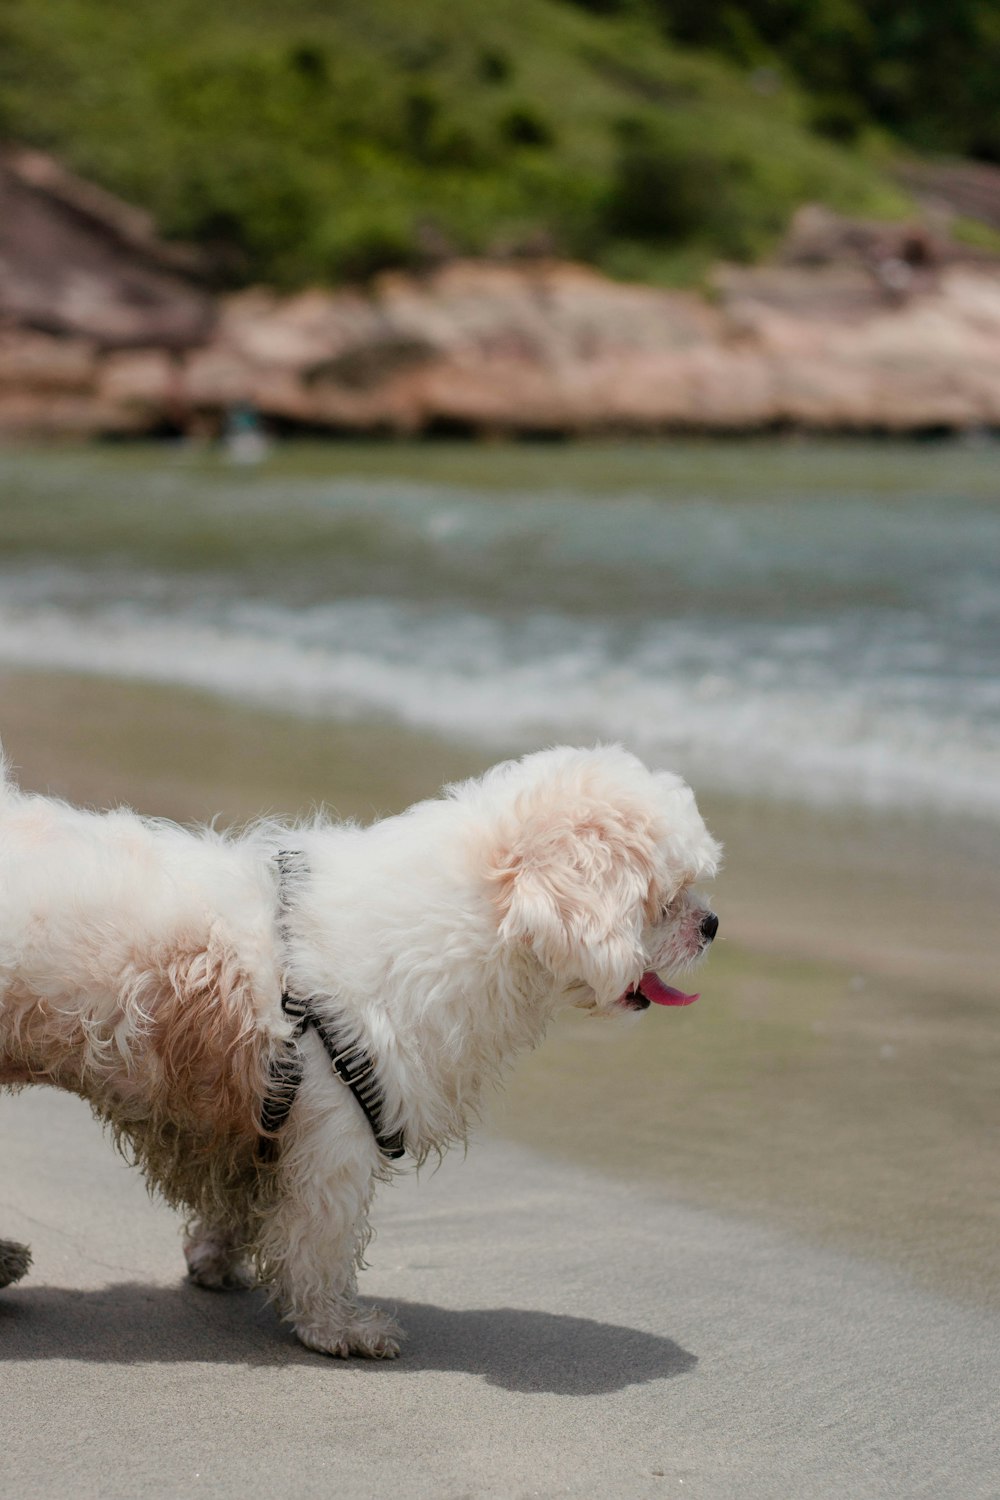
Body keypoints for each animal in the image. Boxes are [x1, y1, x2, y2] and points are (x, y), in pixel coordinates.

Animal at [0, 744, 719, 1356]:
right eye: (664, 899)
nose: (712, 924)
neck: (468, 918)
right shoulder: (336, 1126)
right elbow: (321, 1235)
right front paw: (335, 1327)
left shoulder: (257, 1130)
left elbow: (239, 1204)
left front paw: (215, 1260)